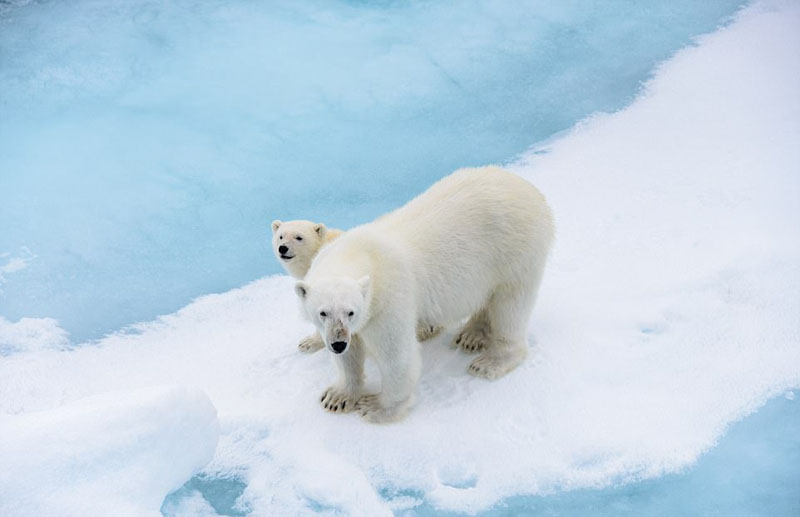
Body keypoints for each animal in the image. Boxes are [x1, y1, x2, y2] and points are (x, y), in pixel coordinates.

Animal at [296, 167, 556, 422]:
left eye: (351, 311)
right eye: (323, 313)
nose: (338, 343)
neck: (359, 252)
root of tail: (534, 192)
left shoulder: (388, 298)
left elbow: (396, 354)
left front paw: (377, 407)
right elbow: (349, 356)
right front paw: (336, 397)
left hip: (515, 249)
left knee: (511, 305)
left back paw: (490, 361)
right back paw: (471, 336)